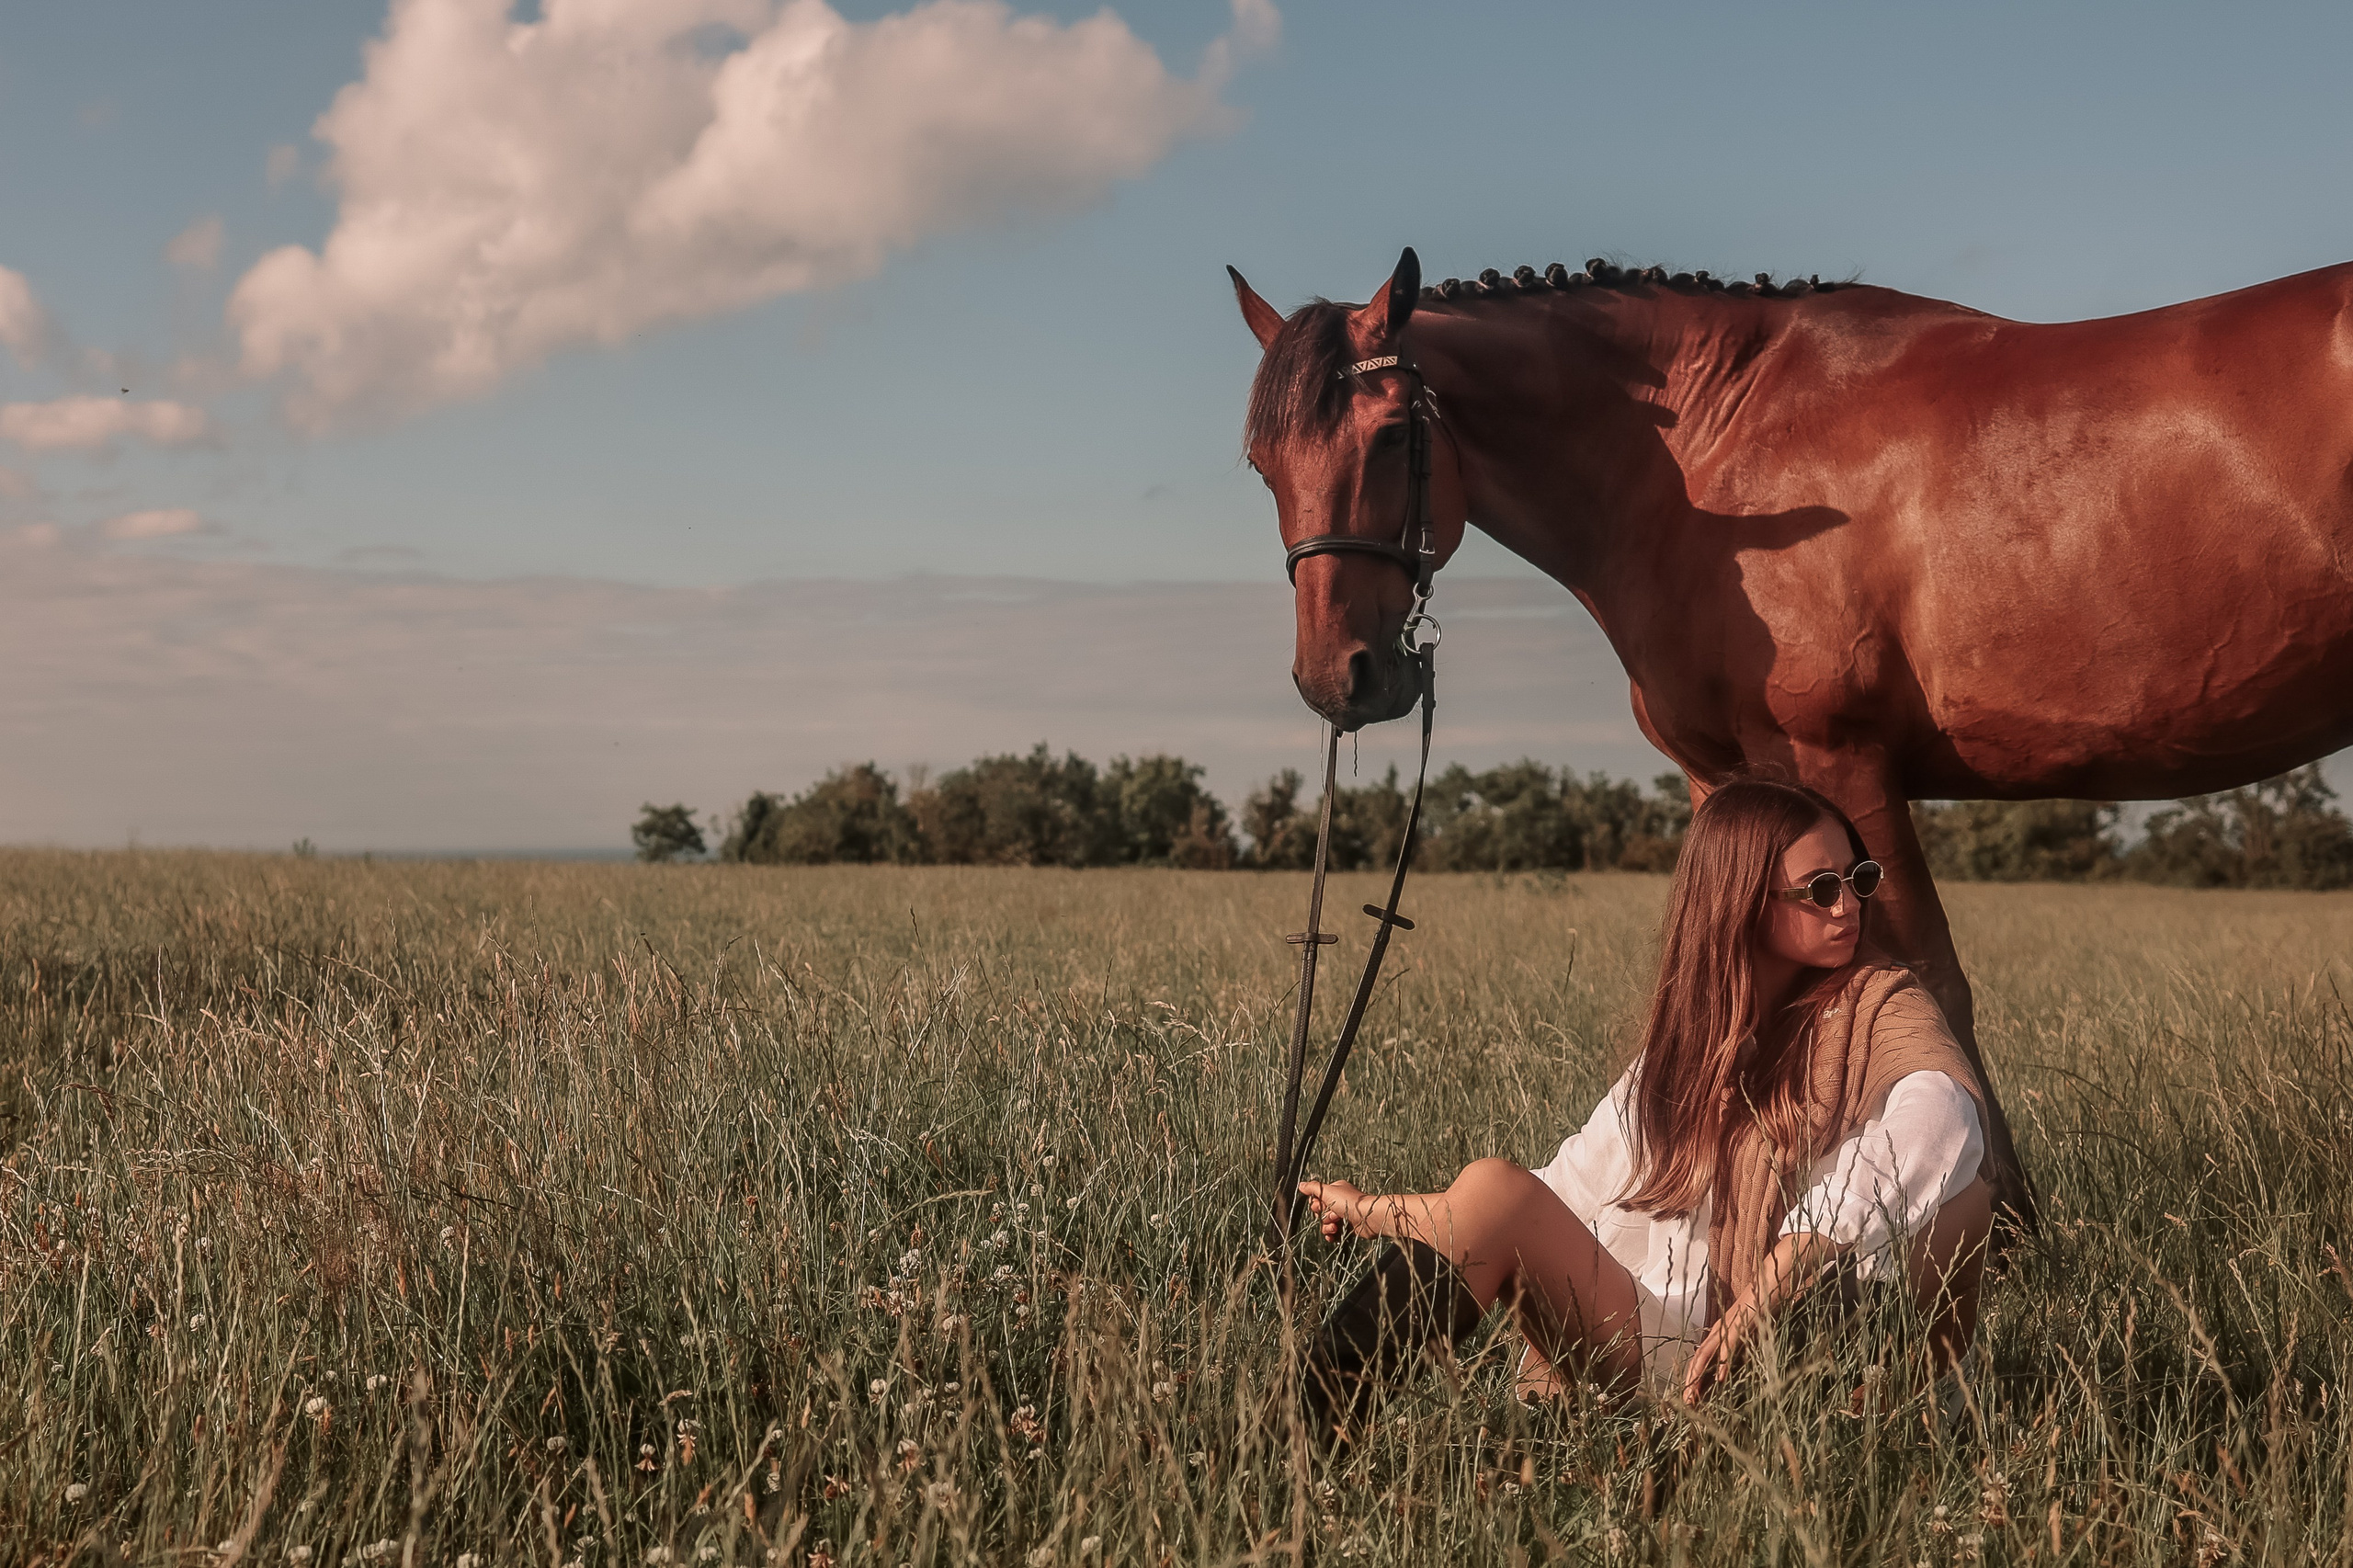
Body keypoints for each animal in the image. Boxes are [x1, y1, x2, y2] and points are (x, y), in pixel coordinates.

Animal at [1228, 246, 2353, 1226]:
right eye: (1260, 462)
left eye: (1390, 434)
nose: (1338, 677)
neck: (1711, 462)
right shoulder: (1724, 779)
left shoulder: (1841, 763)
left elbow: (1920, 982)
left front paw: (2005, 1227)